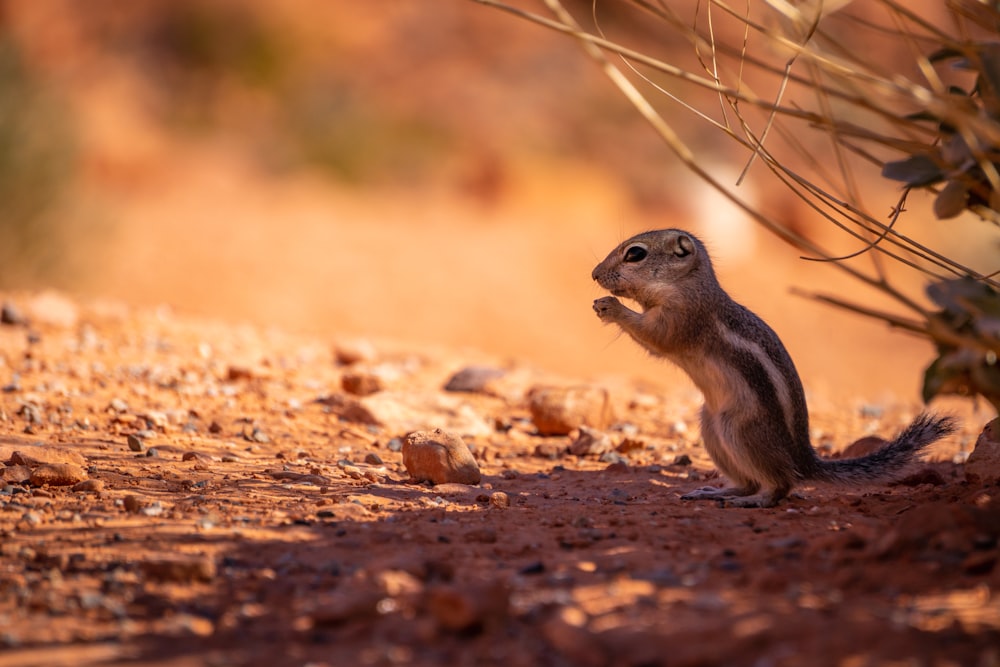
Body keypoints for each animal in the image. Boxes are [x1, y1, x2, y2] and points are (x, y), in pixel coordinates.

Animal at [588, 230, 956, 506]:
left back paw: (753, 500)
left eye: (635, 254)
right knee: (751, 481)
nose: (594, 274)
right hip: (712, 429)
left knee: (781, 485)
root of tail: (804, 458)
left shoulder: (682, 319)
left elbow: (656, 338)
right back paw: (717, 492)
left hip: (740, 429)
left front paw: (611, 307)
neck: (686, 285)